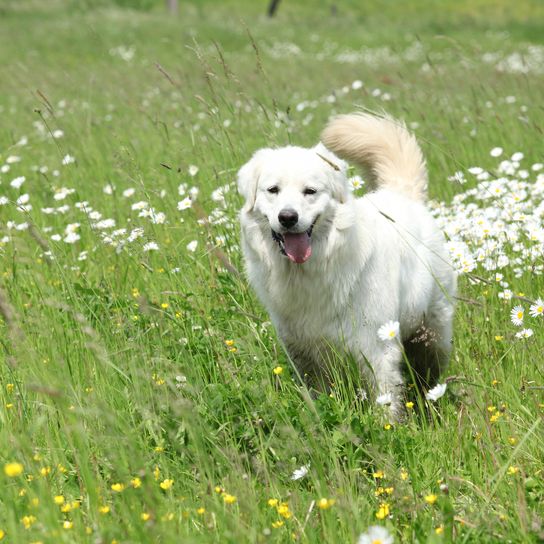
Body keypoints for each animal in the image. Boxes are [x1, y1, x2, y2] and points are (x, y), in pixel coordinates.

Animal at [238, 112, 454, 418]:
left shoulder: (377, 347)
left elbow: (385, 399)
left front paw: (388, 426)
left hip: (433, 333)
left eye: (310, 191)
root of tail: (401, 194)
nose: (288, 217)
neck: (313, 269)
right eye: (273, 190)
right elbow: (319, 393)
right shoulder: (302, 349)